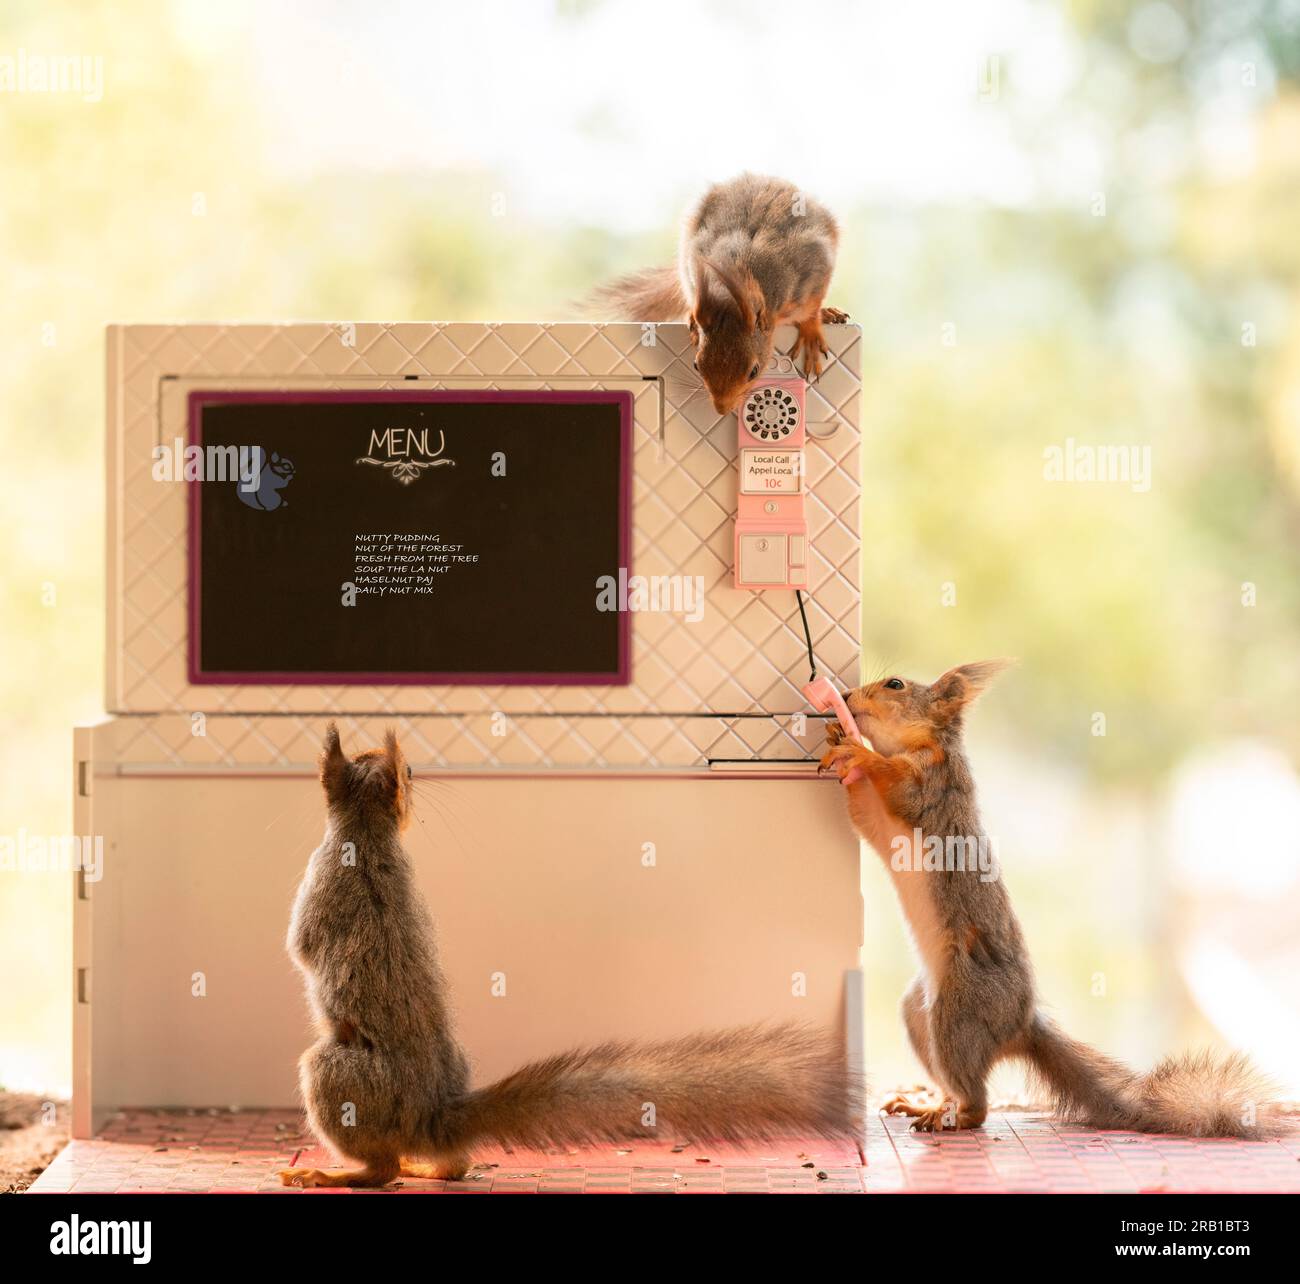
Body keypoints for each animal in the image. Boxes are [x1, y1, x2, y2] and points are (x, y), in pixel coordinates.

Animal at [279, 724, 862, 1188]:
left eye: (407, 770)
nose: (414, 776)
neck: (366, 834)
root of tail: (432, 1116)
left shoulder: (317, 891)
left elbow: (300, 945)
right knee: (452, 1166)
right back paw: (424, 1165)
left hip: (333, 1076)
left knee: (381, 1169)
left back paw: (331, 1174)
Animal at [591, 173, 847, 415]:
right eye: (696, 365)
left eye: (754, 371)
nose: (722, 409)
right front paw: (695, 320)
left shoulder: (812, 273)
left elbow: (811, 309)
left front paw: (811, 333)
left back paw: (829, 314)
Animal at [819, 661, 1285, 1138]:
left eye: (895, 684)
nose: (846, 696)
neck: (923, 746)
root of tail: (1019, 1026)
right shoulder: (884, 821)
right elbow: (866, 815)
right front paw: (838, 741)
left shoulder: (935, 788)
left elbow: (900, 789)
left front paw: (860, 753)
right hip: (919, 1012)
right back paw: (927, 1104)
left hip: (958, 1010)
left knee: (977, 1102)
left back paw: (953, 1116)